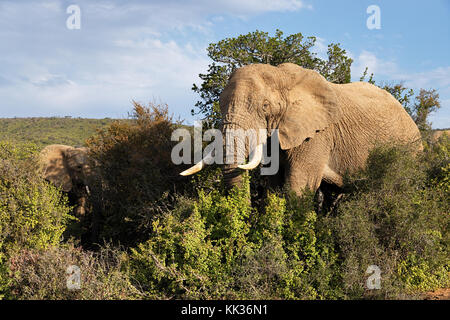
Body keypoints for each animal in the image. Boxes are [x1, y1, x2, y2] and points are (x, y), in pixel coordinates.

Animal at [181, 62, 424, 196]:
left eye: (265, 106)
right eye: (220, 104)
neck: (284, 77)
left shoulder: (317, 135)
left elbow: (298, 185)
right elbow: (274, 184)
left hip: (410, 153)